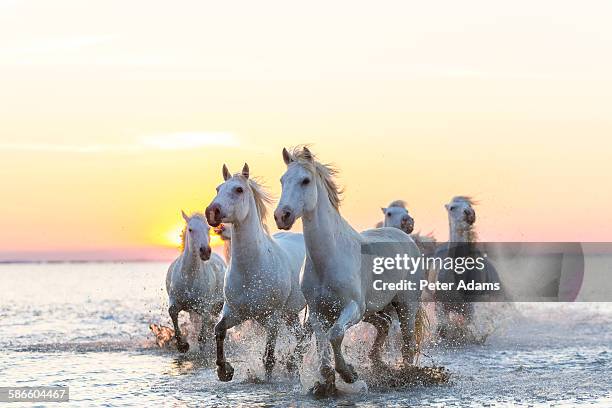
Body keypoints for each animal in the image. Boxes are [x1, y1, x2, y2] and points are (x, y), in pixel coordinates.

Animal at [165, 212, 227, 352]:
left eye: (208, 228)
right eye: (190, 229)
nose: (205, 251)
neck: (190, 277)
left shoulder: (205, 306)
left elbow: (202, 334)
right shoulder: (175, 301)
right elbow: (172, 312)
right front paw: (182, 345)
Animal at [206, 163, 308, 382]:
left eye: (239, 189)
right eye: (218, 189)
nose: (211, 212)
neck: (251, 271)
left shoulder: (272, 320)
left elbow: (268, 358)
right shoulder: (235, 312)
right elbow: (219, 330)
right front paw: (224, 370)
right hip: (290, 314)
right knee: (299, 334)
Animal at [274, 147, 424, 396]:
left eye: (305, 181)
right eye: (282, 180)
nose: (281, 216)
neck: (328, 260)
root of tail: (408, 240)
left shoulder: (353, 307)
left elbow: (335, 335)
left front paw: (349, 374)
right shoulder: (317, 312)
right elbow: (322, 342)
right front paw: (325, 382)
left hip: (405, 305)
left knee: (408, 342)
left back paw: (406, 375)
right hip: (374, 309)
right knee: (383, 324)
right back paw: (377, 364)